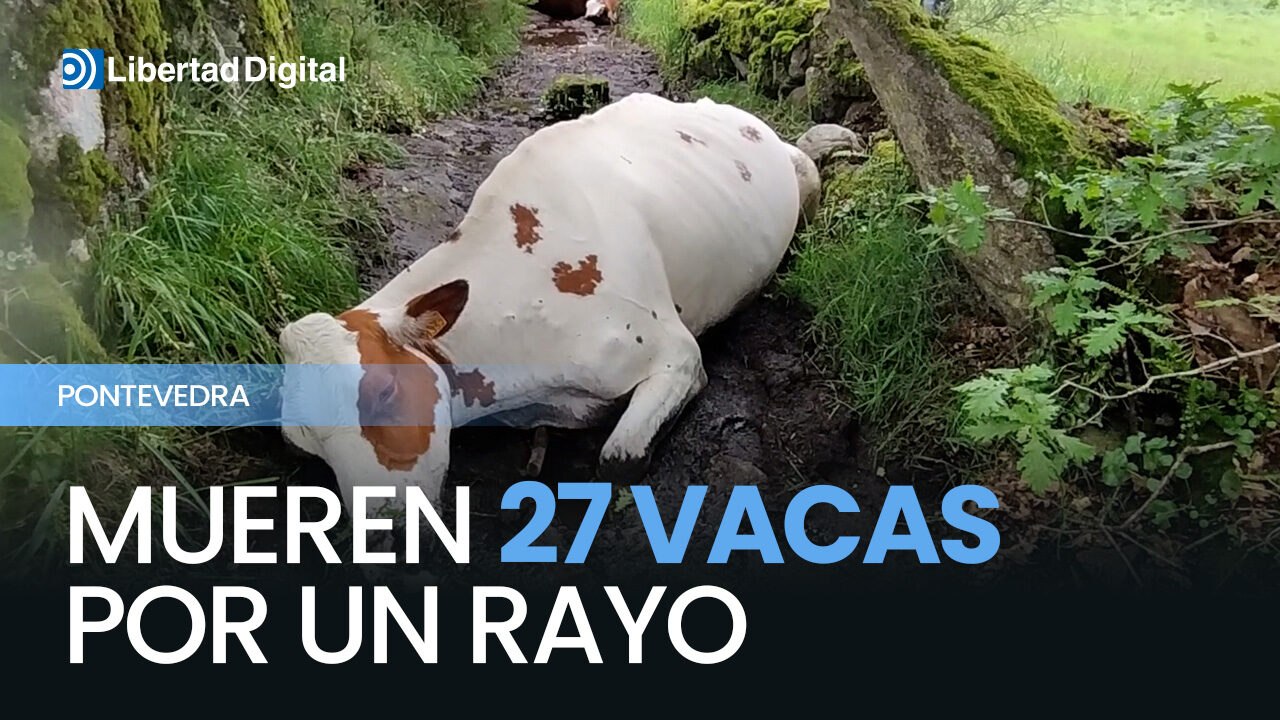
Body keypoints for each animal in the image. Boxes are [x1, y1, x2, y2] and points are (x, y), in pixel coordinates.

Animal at [279, 93, 821, 514]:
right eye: (305, 446)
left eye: (385, 392)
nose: (380, 534)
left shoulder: (676, 355)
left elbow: (618, 462)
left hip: (806, 172)